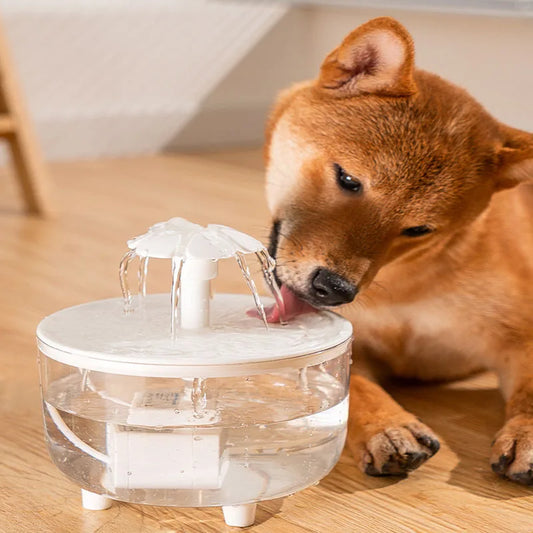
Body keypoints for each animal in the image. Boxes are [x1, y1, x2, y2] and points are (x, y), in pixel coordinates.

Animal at [264, 15, 532, 482]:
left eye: (419, 229)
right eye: (348, 179)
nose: (335, 289)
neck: (403, 284)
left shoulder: (520, 332)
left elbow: (531, 393)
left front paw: (527, 434)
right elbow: (357, 385)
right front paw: (387, 428)